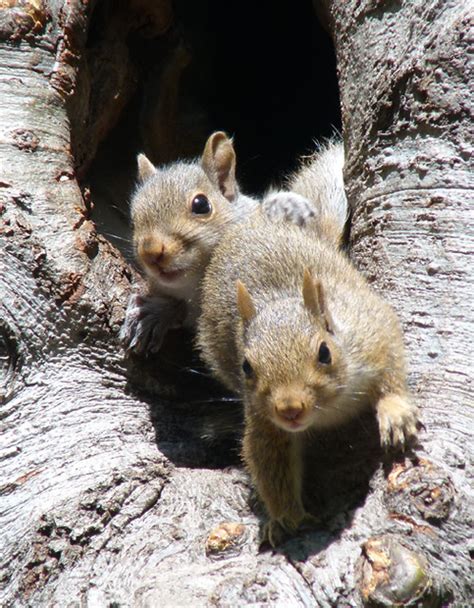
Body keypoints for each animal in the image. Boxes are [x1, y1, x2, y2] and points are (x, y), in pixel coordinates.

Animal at [196, 141, 418, 548]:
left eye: (324, 352)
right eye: (247, 367)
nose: (289, 409)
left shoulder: (369, 330)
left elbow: (392, 357)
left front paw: (395, 411)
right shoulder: (264, 419)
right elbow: (268, 460)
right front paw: (285, 518)